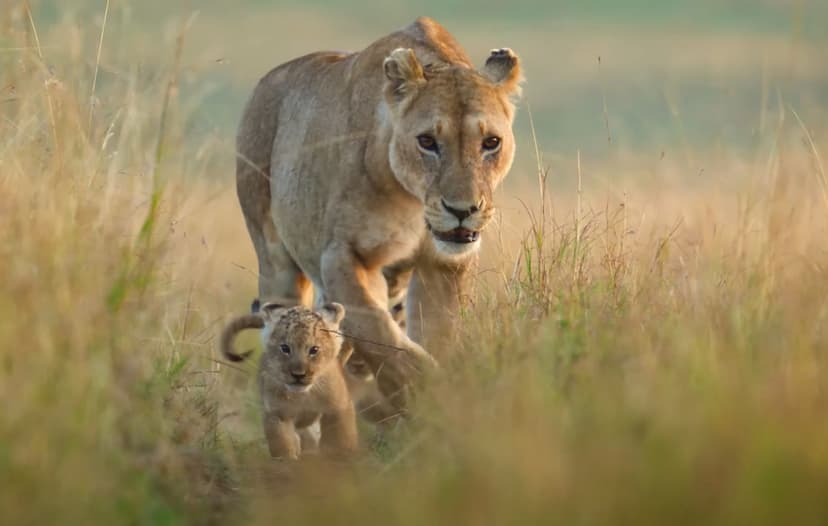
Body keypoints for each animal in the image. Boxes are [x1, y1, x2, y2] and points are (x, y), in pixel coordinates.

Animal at [220, 302, 358, 459]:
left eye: (314, 349)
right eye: (285, 348)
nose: (298, 375)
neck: (303, 396)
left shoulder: (338, 406)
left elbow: (340, 439)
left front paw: (342, 456)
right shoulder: (278, 413)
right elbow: (283, 444)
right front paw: (288, 460)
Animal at [236, 17, 522, 410]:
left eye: (491, 142)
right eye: (427, 141)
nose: (462, 210)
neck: (415, 203)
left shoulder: (445, 266)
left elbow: (438, 333)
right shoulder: (343, 255)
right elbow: (379, 333)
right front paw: (423, 388)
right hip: (274, 258)